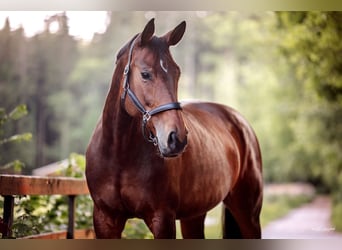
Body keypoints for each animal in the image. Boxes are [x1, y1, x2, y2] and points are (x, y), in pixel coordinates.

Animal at [85, 18, 262, 238]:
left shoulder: (162, 219)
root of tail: (238, 120)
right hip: (194, 216)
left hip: (248, 214)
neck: (119, 154)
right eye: (145, 74)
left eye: (177, 73)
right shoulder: (104, 220)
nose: (176, 139)